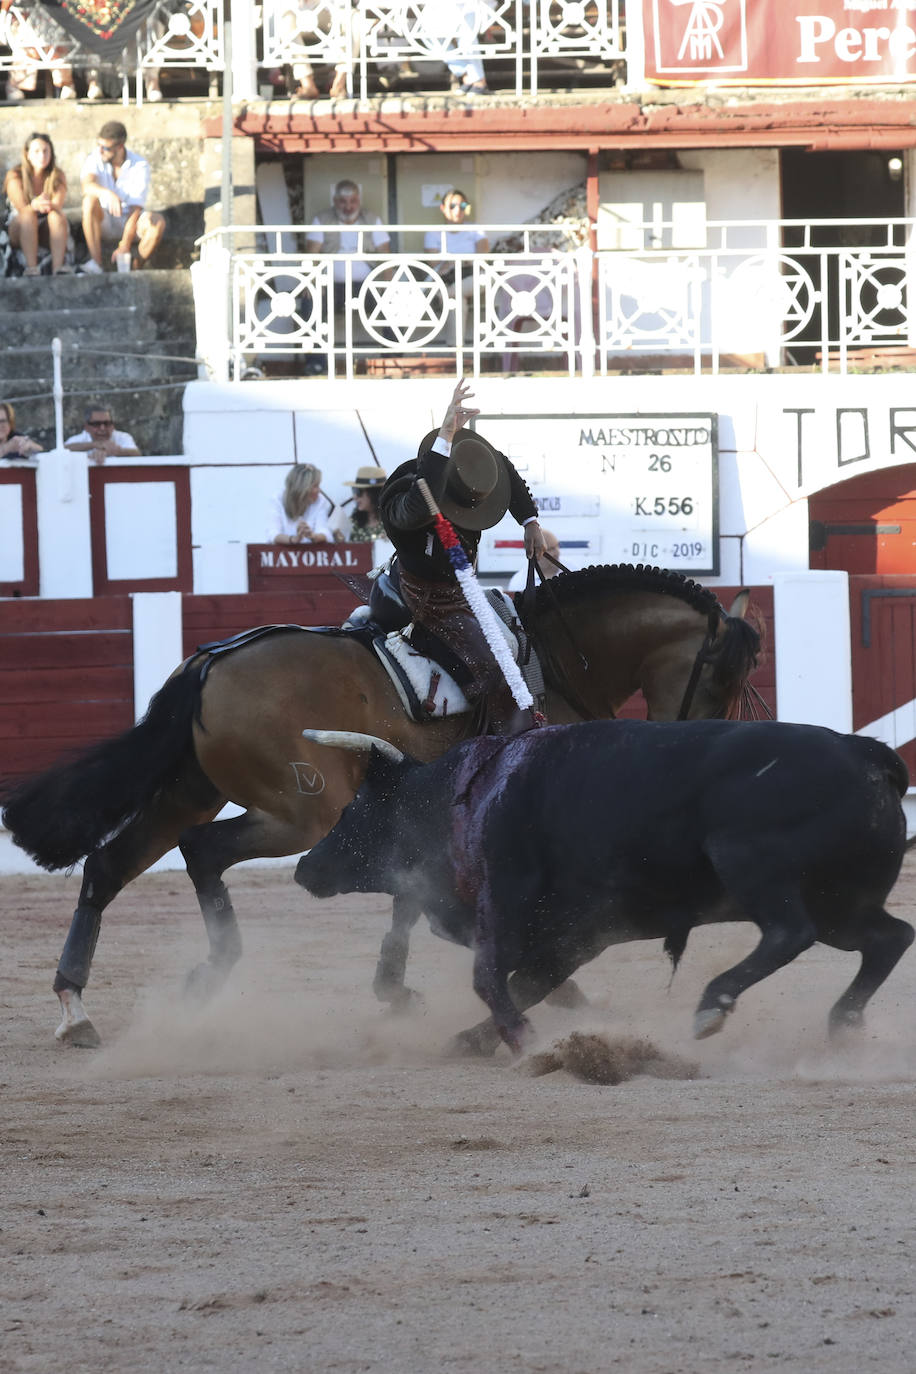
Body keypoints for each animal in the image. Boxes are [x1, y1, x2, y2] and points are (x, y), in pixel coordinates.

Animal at [0, 557, 758, 1038]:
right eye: (720, 678)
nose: (700, 742)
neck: (553, 661)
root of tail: (210, 662)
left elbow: (407, 896)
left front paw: (394, 989)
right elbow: (422, 897)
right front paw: (549, 984)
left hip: (190, 791)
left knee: (111, 866)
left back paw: (77, 1006)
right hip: (302, 812)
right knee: (201, 850)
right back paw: (203, 972)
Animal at [298, 719, 911, 1049]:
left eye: (356, 808)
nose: (306, 867)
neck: (462, 796)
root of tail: (865, 751)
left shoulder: (506, 898)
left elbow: (490, 978)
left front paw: (520, 1041)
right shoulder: (572, 936)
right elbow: (529, 984)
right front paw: (469, 1043)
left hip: (753, 864)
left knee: (789, 932)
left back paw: (711, 1007)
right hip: (841, 903)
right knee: (890, 937)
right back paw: (843, 1025)